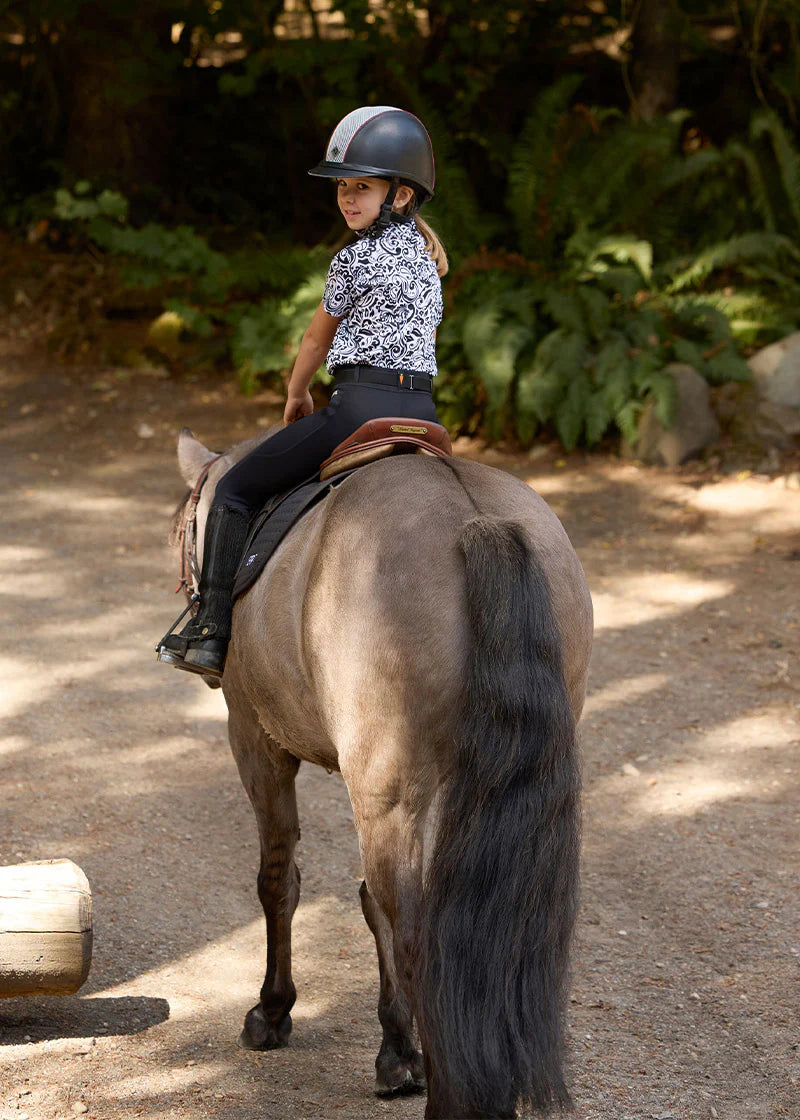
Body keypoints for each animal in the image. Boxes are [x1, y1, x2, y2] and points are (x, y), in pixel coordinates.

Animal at [170, 426, 593, 1119]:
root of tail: (475, 519)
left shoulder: (256, 742)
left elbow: (279, 882)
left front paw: (273, 1011)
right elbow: (369, 905)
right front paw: (397, 1051)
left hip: (384, 788)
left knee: (418, 932)